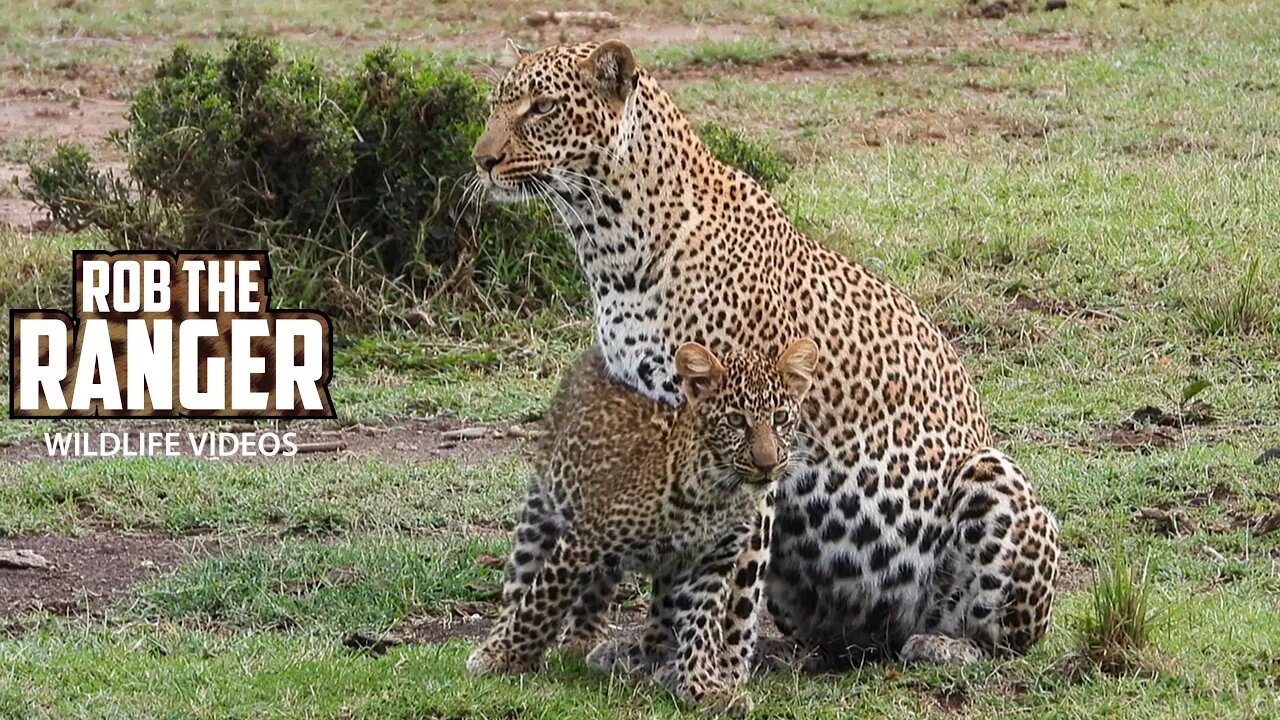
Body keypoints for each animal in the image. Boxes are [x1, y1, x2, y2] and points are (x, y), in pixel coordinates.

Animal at [473, 39, 1059, 666]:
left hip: (992, 476)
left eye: (542, 108)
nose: (481, 159)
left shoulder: (747, 439)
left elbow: (726, 578)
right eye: (495, 104)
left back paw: (942, 645)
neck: (608, 246)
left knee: (1002, 637)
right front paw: (651, 651)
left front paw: (704, 662)